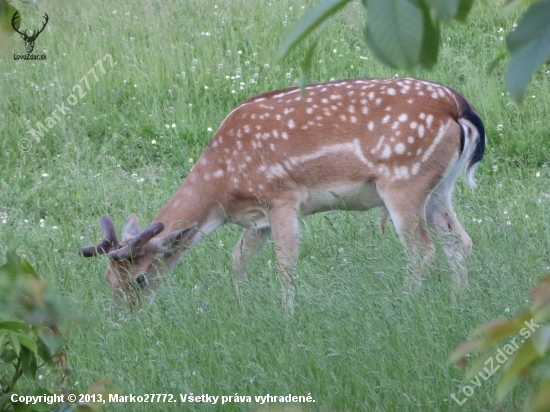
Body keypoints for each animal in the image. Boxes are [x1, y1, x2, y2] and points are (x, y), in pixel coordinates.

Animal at [82, 78, 488, 312]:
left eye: (140, 278)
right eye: (108, 280)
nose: (124, 316)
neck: (220, 189)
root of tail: (461, 108)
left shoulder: (280, 197)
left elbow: (285, 265)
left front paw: (287, 317)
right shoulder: (256, 219)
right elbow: (237, 259)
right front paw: (242, 307)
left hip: (404, 181)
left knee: (422, 250)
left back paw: (405, 304)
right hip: (439, 187)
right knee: (460, 239)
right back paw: (458, 303)